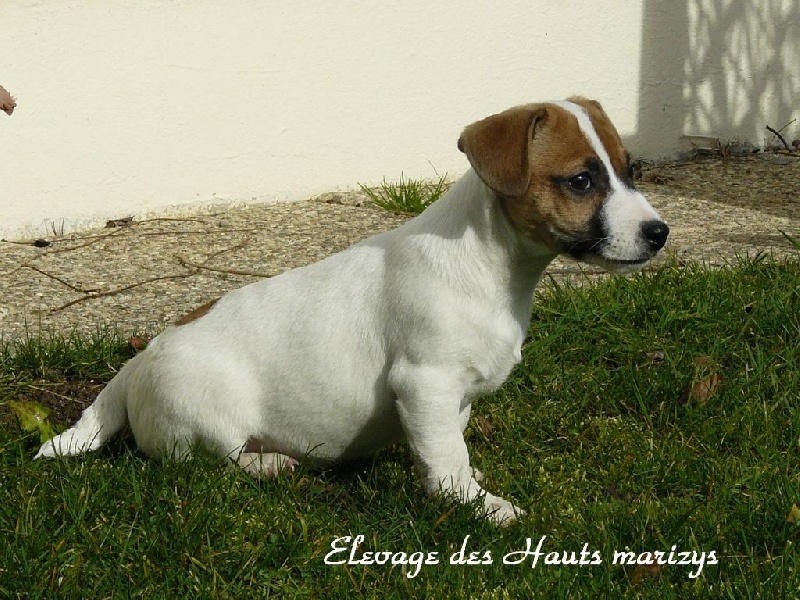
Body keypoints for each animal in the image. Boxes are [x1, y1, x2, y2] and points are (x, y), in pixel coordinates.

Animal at [36, 97, 668, 525]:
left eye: (631, 170)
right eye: (581, 181)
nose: (660, 233)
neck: (493, 266)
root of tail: (137, 363)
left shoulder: (450, 398)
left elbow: (448, 447)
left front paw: (468, 480)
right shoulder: (425, 383)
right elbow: (445, 461)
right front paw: (478, 506)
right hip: (209, 416)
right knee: (208, 462)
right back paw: (270, 464)